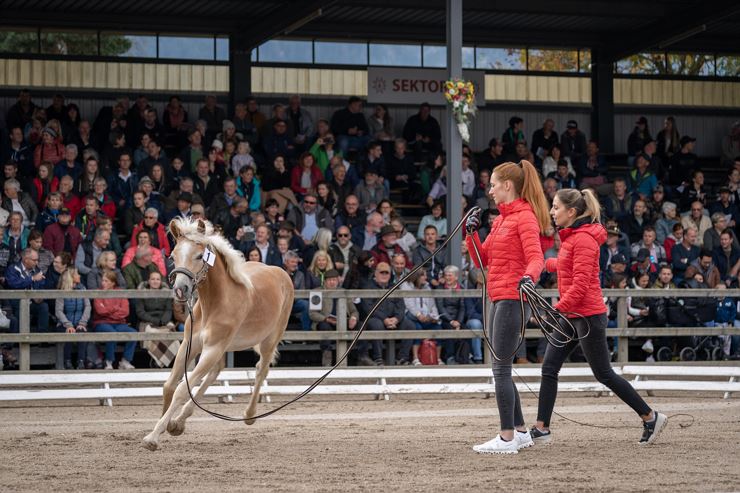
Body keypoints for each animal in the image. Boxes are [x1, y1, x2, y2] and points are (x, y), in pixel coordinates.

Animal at [143, 216, 294, 450]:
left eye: (199, 255)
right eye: (173, 255)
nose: (180, 290)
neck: (215, 302)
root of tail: (281, 272)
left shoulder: (213, 348)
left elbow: (181, 389)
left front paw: (153, 437)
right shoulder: (191, 345)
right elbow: (169, 386)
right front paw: (166, 425)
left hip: (269, 340)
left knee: (261, 370)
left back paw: (249, 415)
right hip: (224, 347)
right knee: (217, 371)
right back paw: (179, 421)